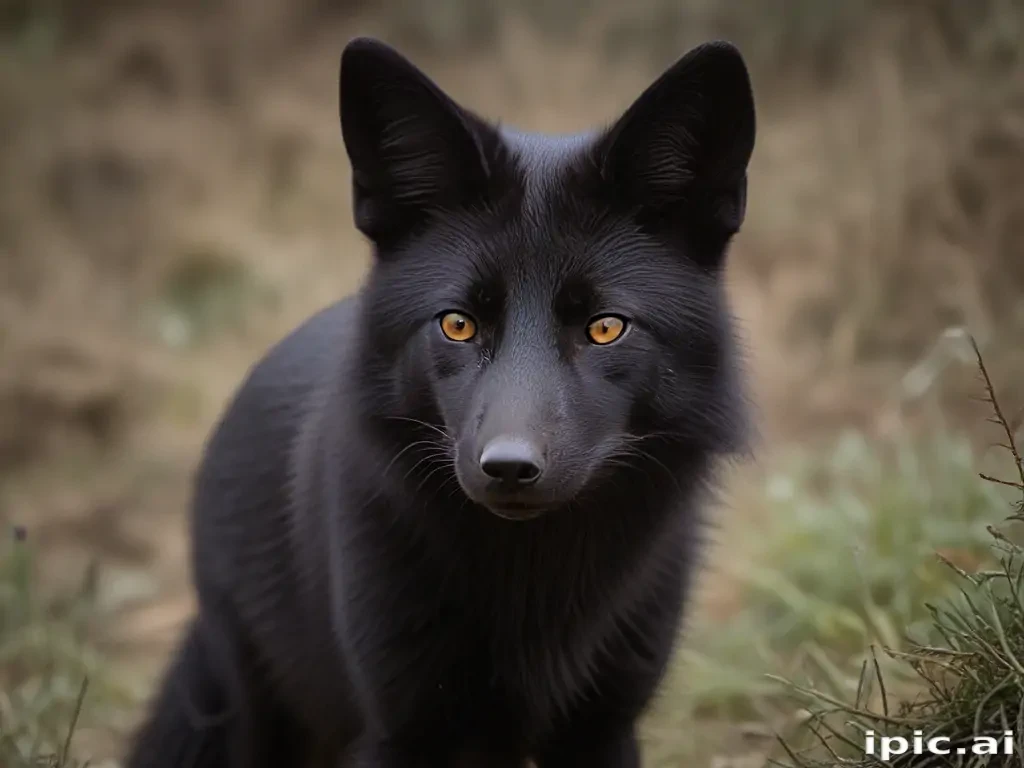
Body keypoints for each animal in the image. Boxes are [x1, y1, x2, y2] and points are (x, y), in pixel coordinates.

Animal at [124, 35, 756, 768]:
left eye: (605, 328)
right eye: (457, 324)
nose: (509, 468)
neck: (530, 579)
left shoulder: (603, 727)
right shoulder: (402, 731)